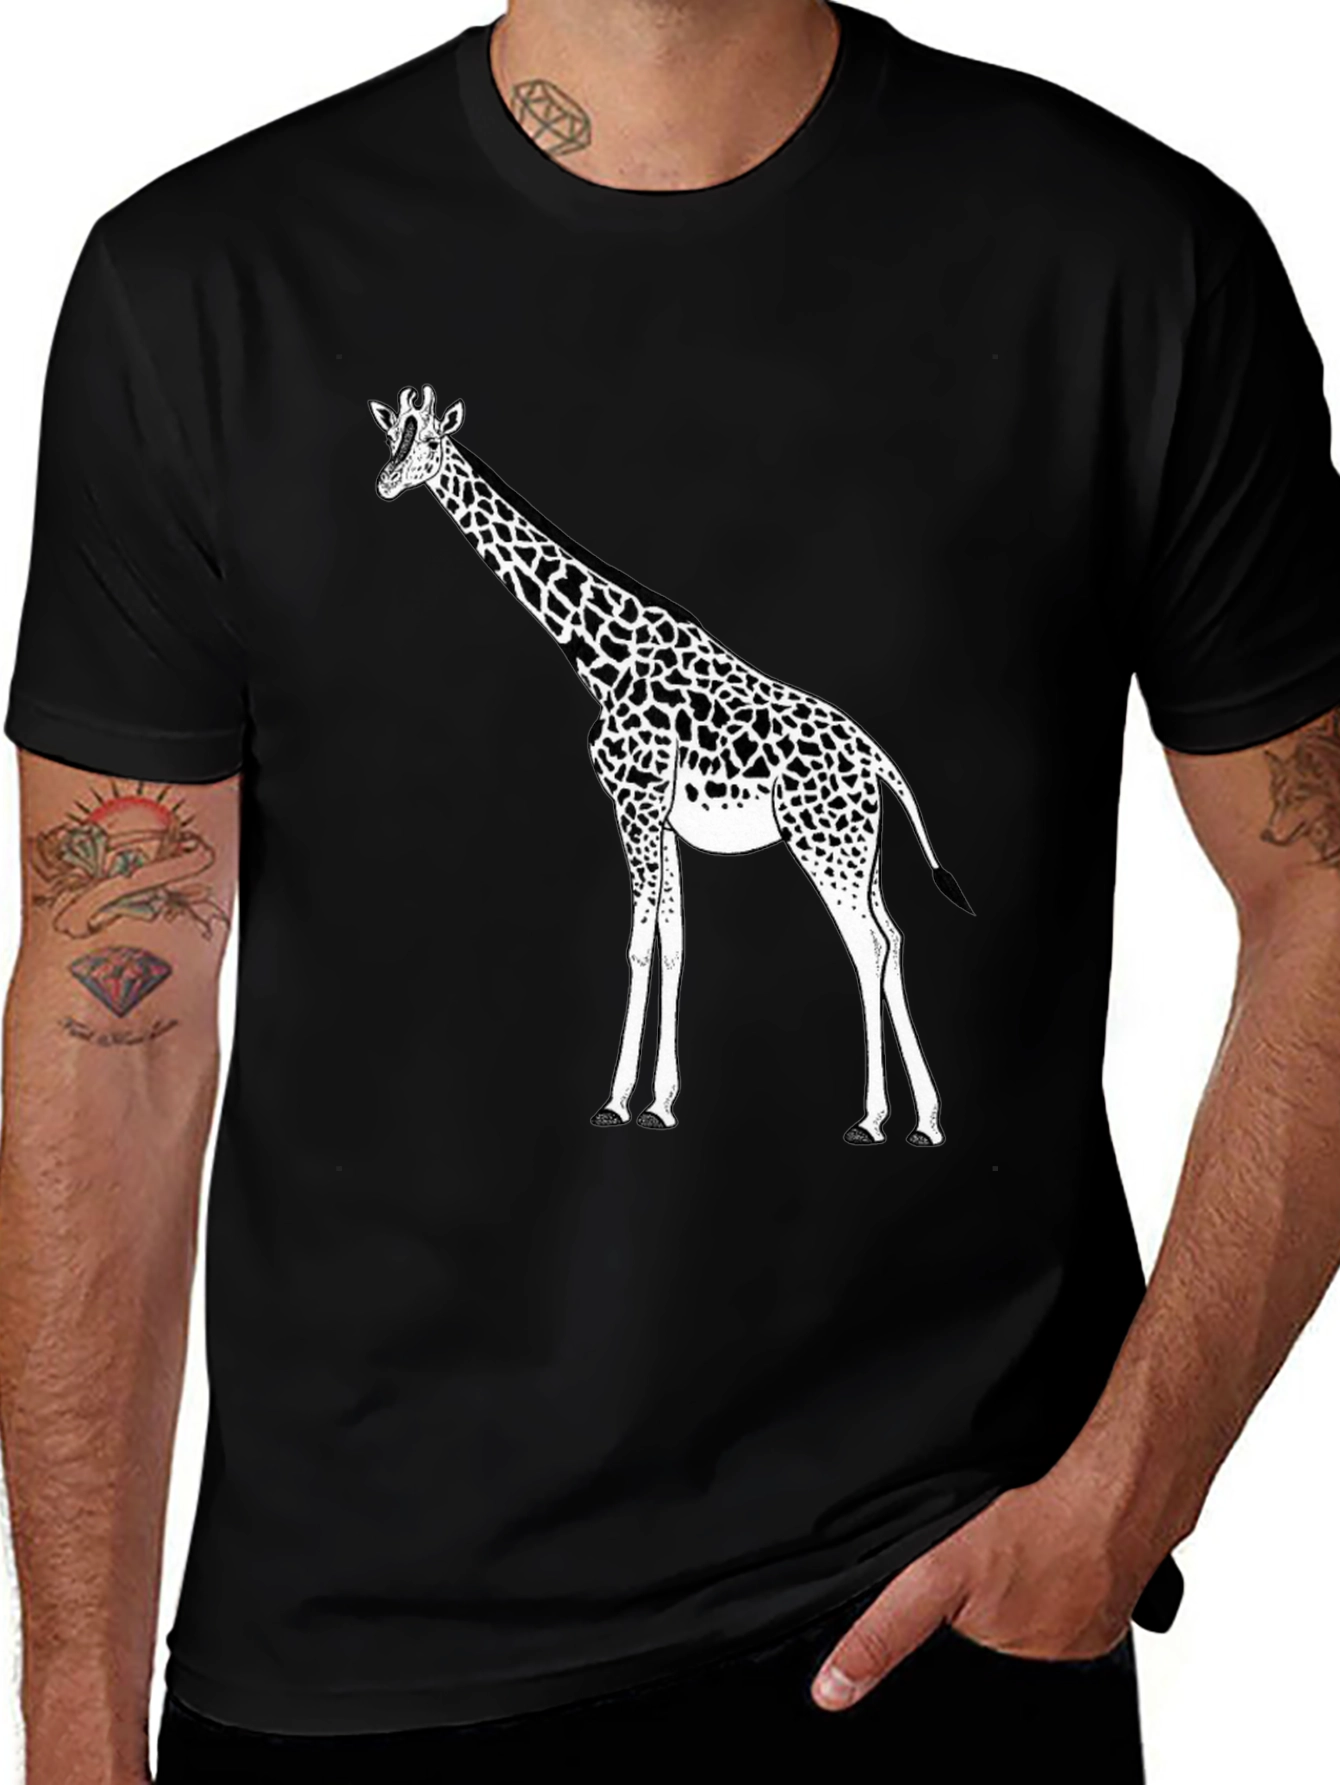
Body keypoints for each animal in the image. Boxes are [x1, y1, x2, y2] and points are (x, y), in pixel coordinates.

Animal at [371, 388, 969, 1144]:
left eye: (430, 443)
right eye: (392, 436)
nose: (387, 482)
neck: (601, 655)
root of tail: (882, 763)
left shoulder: (634, 802)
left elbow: (638, 944)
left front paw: (616, 1099)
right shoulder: (661, 817)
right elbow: (676, 943)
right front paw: (660, 1102)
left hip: (822, 844)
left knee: (866, 946)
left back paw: (871, 1116)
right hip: (865, 850)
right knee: (892, 937)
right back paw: (927, 1119)